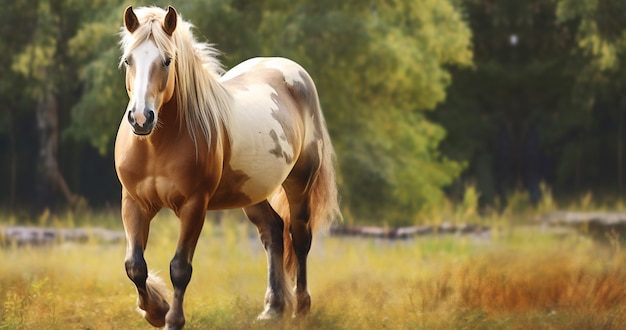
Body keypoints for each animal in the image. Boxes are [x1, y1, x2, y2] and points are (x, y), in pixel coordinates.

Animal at [116, 5, 342, 330]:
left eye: (167, 60)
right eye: (128, 60)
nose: (141, 118)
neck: (156, 145)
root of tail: (293, 72)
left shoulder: (194, 206)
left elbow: (180, 268)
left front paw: (173, 319)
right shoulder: (134, 202)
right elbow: (134, 266)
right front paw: (155, 310)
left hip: (300, 184)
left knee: (299, 238)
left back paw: (301, 309)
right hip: (252, 193)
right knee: (273, 232)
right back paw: (273, 308)